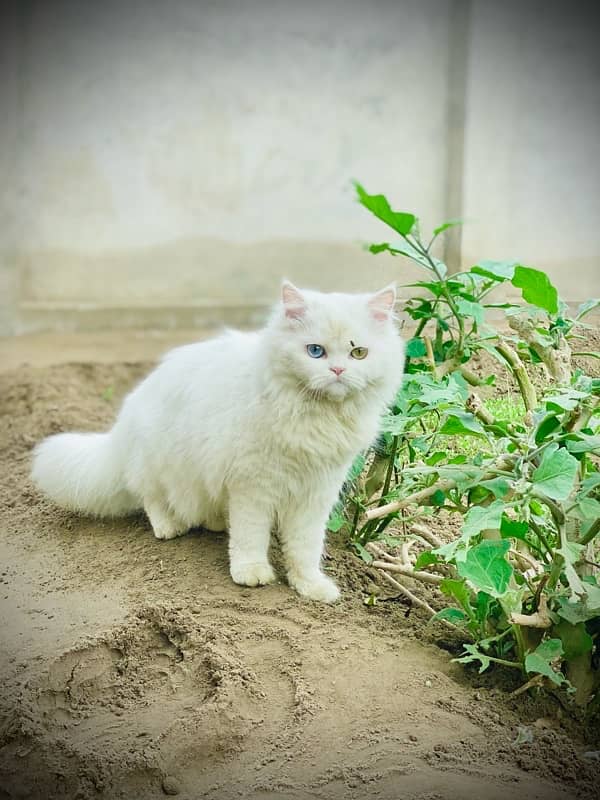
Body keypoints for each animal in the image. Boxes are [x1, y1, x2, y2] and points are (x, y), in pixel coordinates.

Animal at [34, 282, 408, 600]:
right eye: (315, 351)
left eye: (358, 353)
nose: (338, 372)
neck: (314, 417)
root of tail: (122, 427)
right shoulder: (254, 486)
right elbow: (250, 536)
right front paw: (252, 573)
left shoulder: (315, 493)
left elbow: (305, 548)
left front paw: (310, 587)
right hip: (160, 464)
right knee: (150, 499)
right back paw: (169, 527)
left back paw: (215, 524)